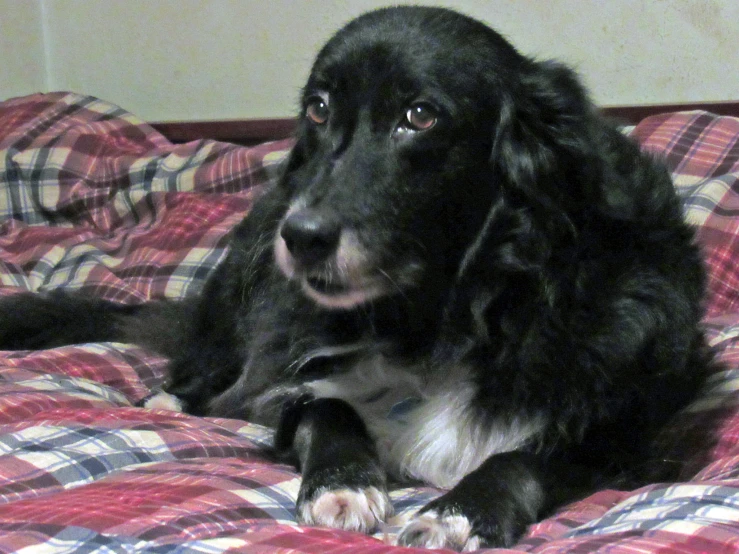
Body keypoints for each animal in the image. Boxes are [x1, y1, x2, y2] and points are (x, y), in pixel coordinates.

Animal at [1, 5, 716, 548]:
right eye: (318, 108)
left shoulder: (618, 443)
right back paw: (171, 398)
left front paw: (460, 512)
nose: (300, 237)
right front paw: (342, 484)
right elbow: (329, 407)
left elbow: (522, 458)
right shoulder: (288, 389)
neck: (436, 319)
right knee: (210, 370)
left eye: (420, 116)